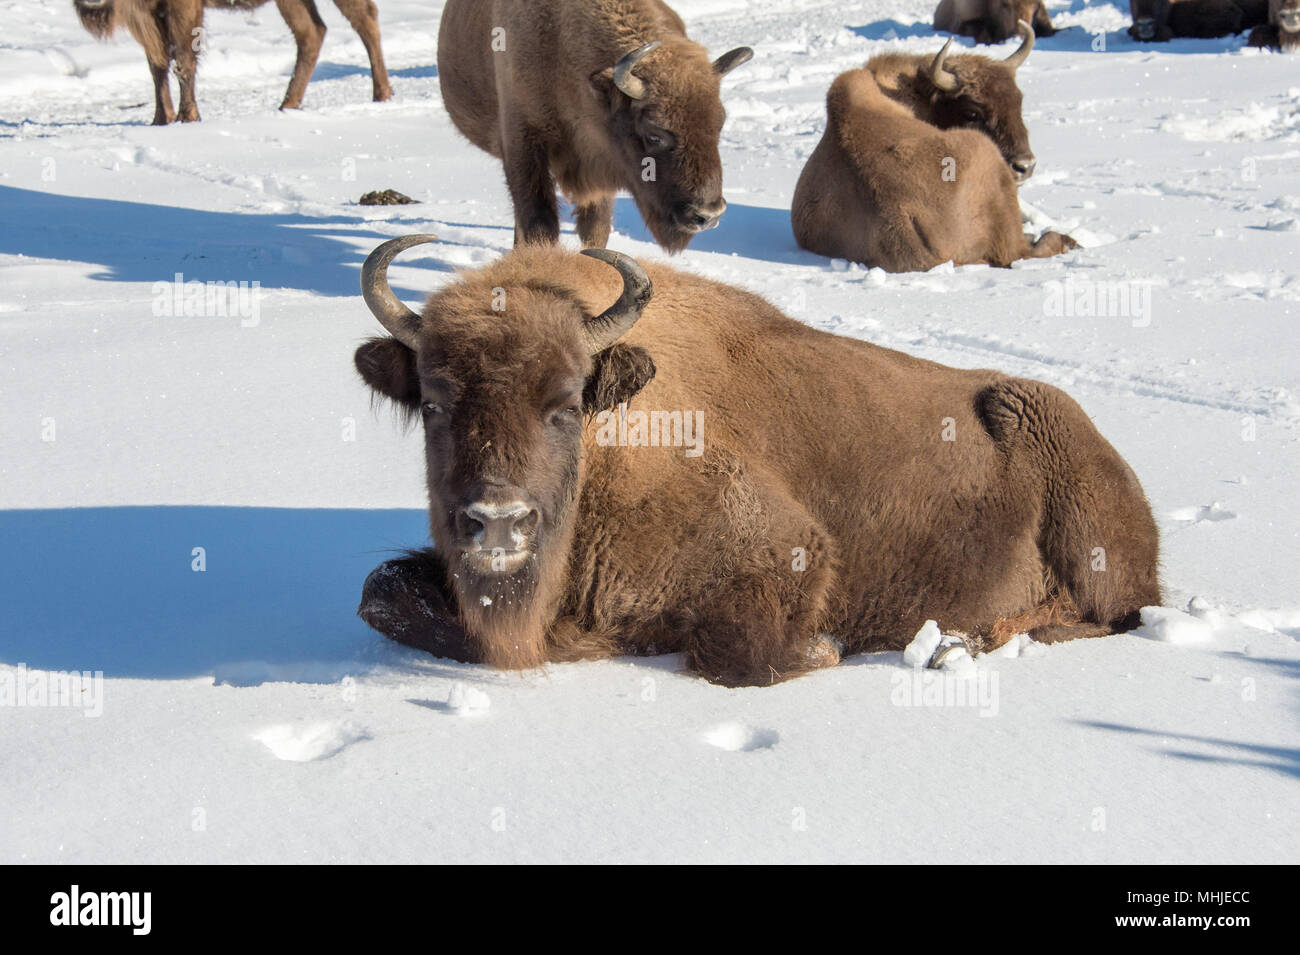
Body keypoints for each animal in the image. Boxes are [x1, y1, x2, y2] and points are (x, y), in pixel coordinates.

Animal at [72, 0, 392, 124]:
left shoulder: (182, 11)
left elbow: (183, 61)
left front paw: (187, 117)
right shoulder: (148, 16)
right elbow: (157, 65)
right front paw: (160, 119)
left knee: (365, 20)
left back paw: (381, 94)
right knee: (312, 32)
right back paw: (287, 105)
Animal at [352, 236, 1161, 687]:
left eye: (565, 404)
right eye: (433, 403)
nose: (497, 523)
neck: (612, 440)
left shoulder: (788, 549)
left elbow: (737, 652)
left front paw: (827, 651)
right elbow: (379, 592)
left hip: (1087, 533)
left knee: (1107, 615)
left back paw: (959, 642)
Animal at [437, 0, 753, 252]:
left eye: (720, 124)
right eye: (654, 134)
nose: (708, 214)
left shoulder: (601, 167)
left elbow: (595, 230)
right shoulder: (523, 146)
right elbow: (539, 223)